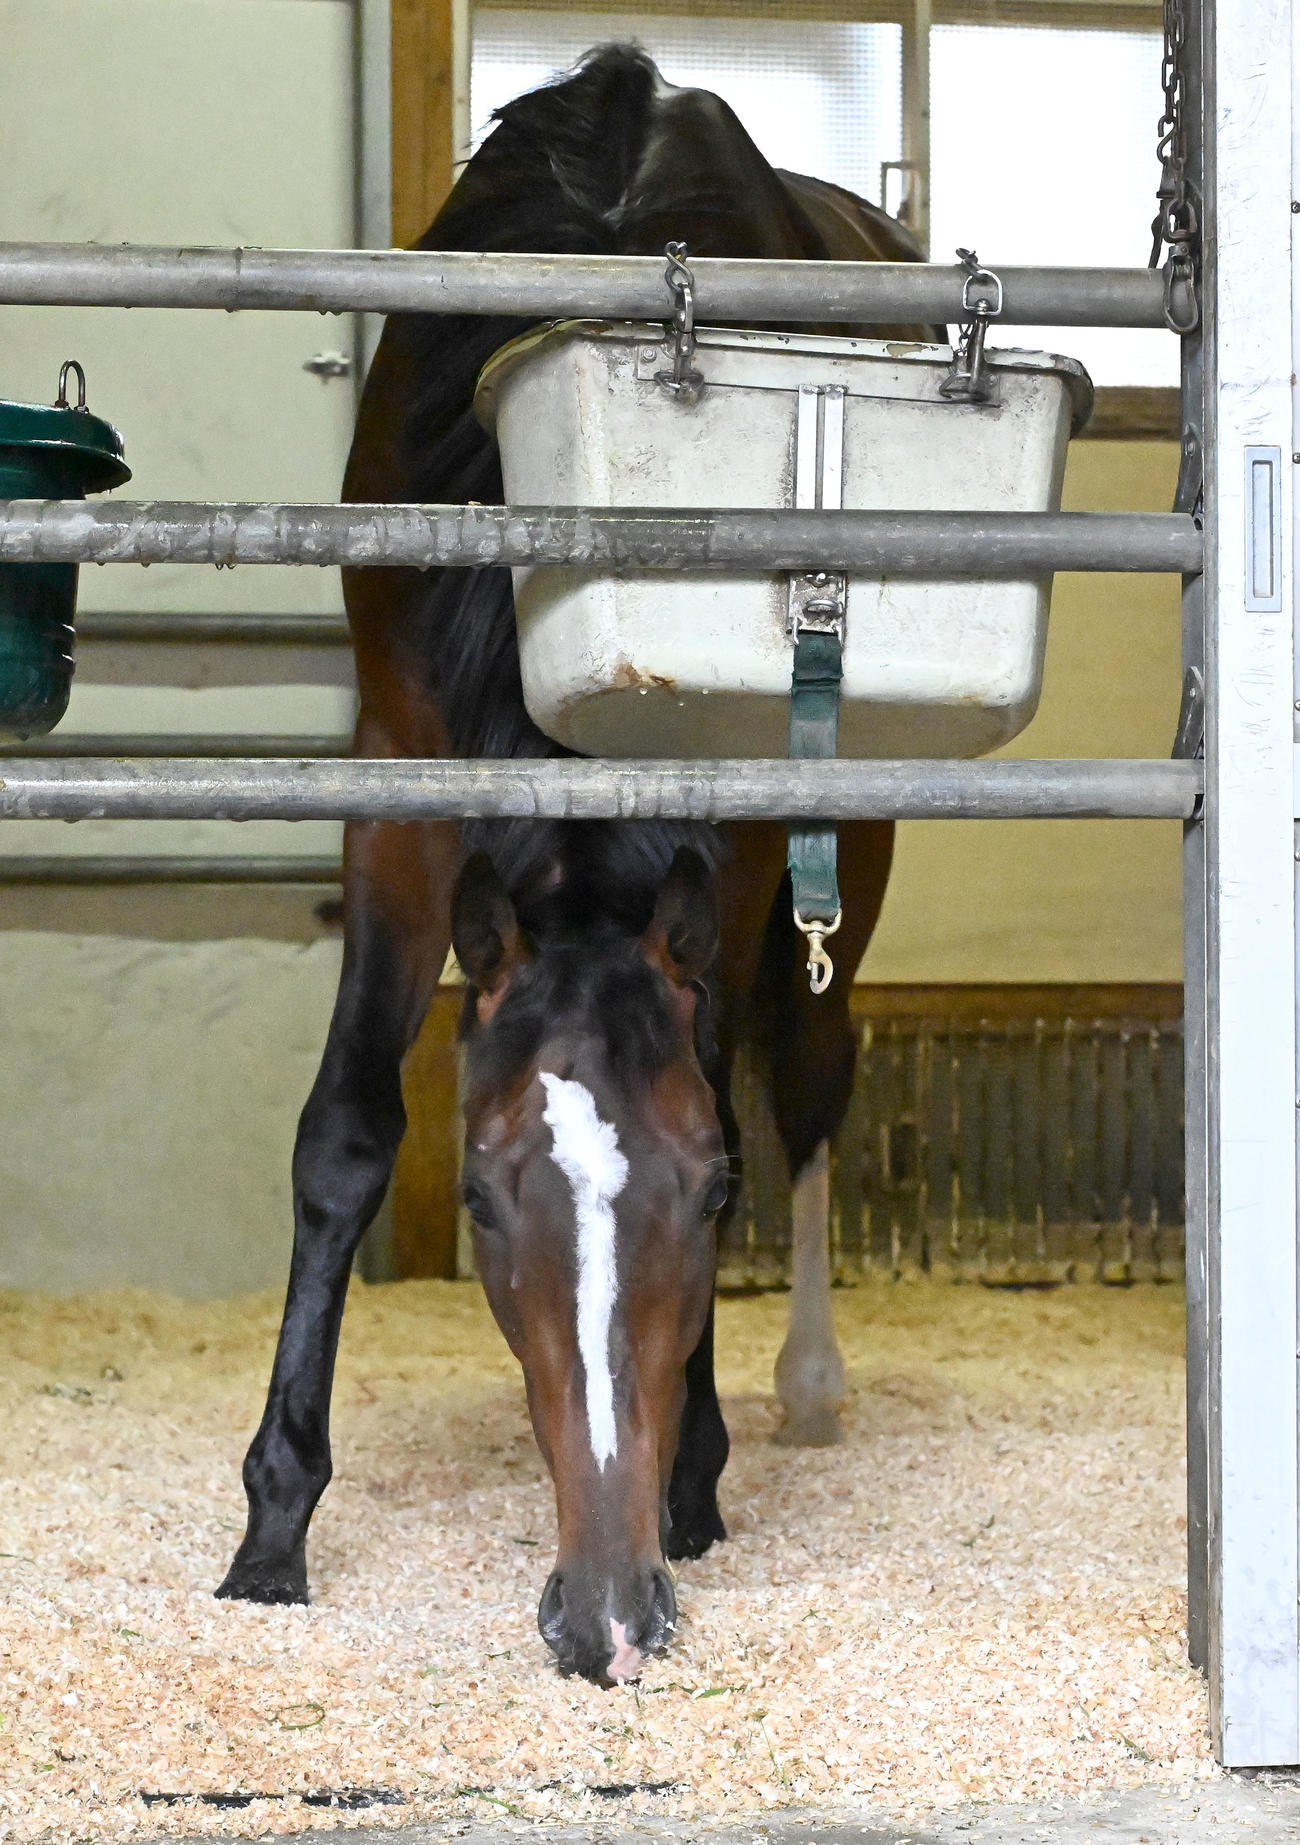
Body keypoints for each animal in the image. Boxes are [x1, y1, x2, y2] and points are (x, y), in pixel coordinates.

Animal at [216, 43, 924, 1687]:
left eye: (706, 1196)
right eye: (481, 1198)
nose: (606, 1610)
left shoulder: (739, 832)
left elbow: (733, 1089)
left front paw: (696, 1476)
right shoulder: (403, 782)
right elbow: (344, 1134)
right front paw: (275, 1520)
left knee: (814, 1075)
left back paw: (804, 1387)